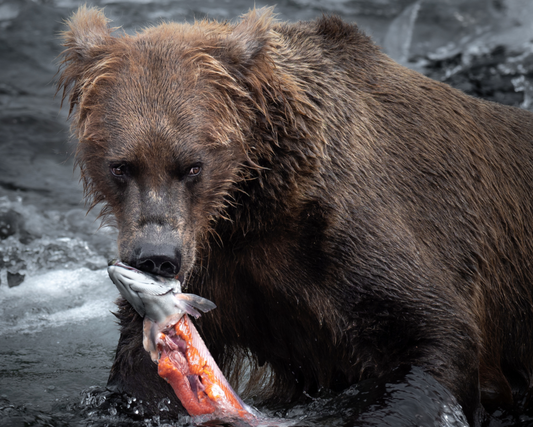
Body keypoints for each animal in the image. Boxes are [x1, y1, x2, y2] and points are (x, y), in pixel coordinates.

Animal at [57, 4, 532, 427]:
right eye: (121, 166)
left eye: (192, 166)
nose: (157, 258)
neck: (251, 207)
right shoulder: (217, 265)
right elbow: (141, 379)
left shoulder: (347, 238)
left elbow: (434, 335)